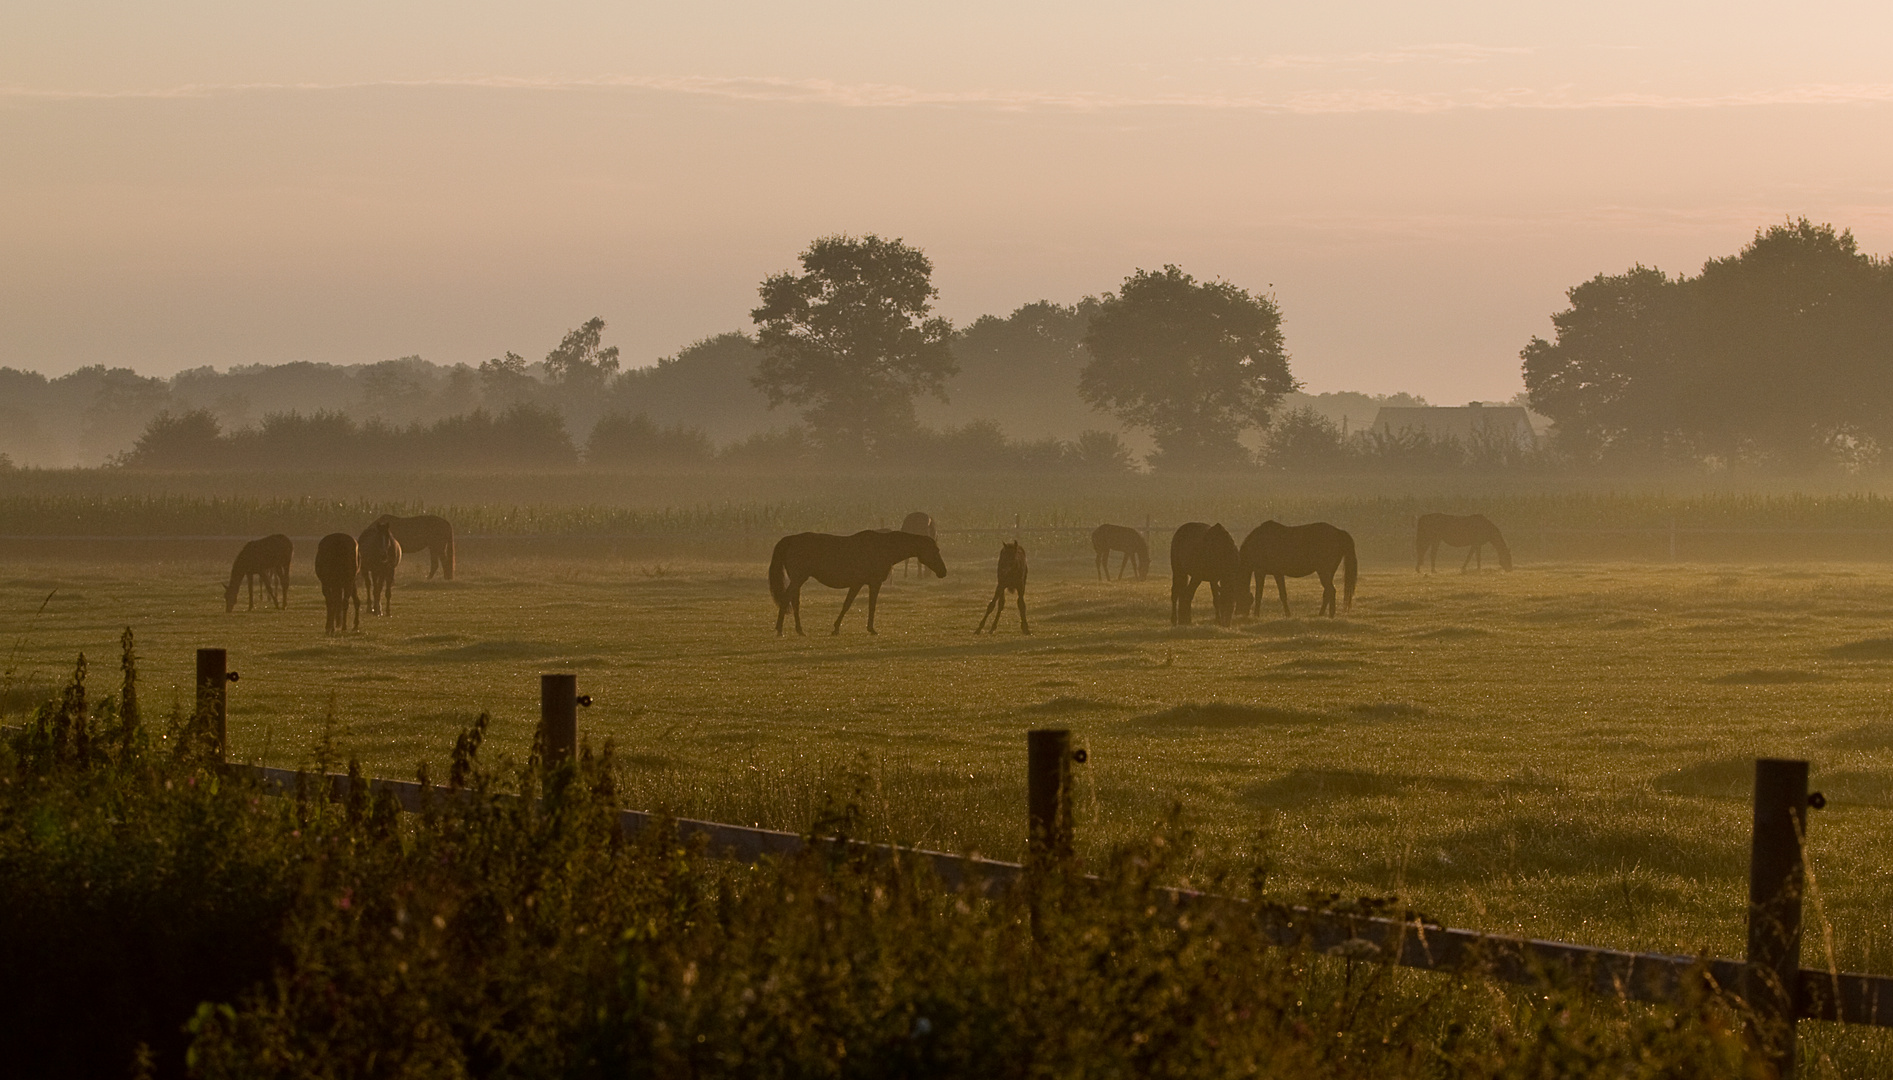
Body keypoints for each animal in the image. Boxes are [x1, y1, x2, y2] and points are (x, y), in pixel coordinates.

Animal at [768, 529, 946, 635]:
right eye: (935, 550)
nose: (943, 572)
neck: (883, 548)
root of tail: (791, 539)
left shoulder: (858, 584)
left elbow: (849, 604)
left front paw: (837, 627)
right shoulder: (871, 583)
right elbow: (865, 605)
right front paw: (870, 629)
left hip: (798, 580)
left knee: (794, 601)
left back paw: (799, 630)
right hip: (798, 579)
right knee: (786, 599)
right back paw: (780, 630)